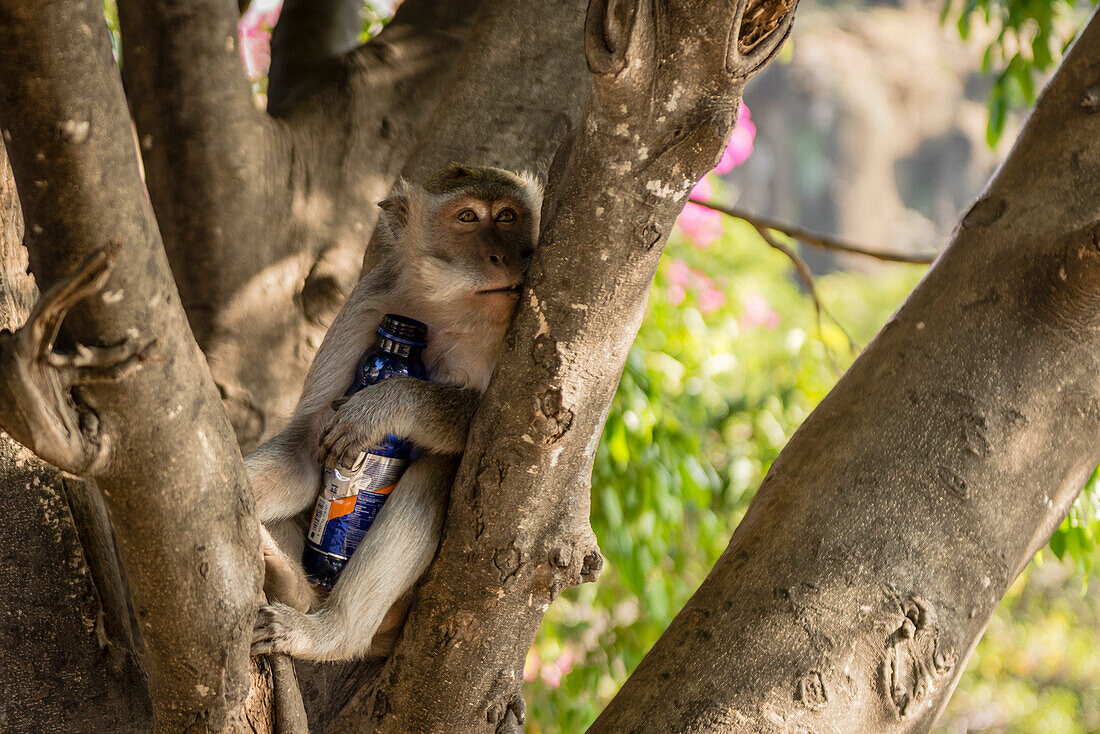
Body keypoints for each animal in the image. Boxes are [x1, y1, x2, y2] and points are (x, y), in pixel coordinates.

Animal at [248, 163, 541, 664]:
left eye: (507, 215)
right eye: (467, 216)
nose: (502, 257)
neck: (446, 309)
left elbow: (498, 423)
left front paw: (385, 406)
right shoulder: (369, 303)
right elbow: (306, 450)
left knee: (436, 472)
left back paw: (329, 632)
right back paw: (293, 586)